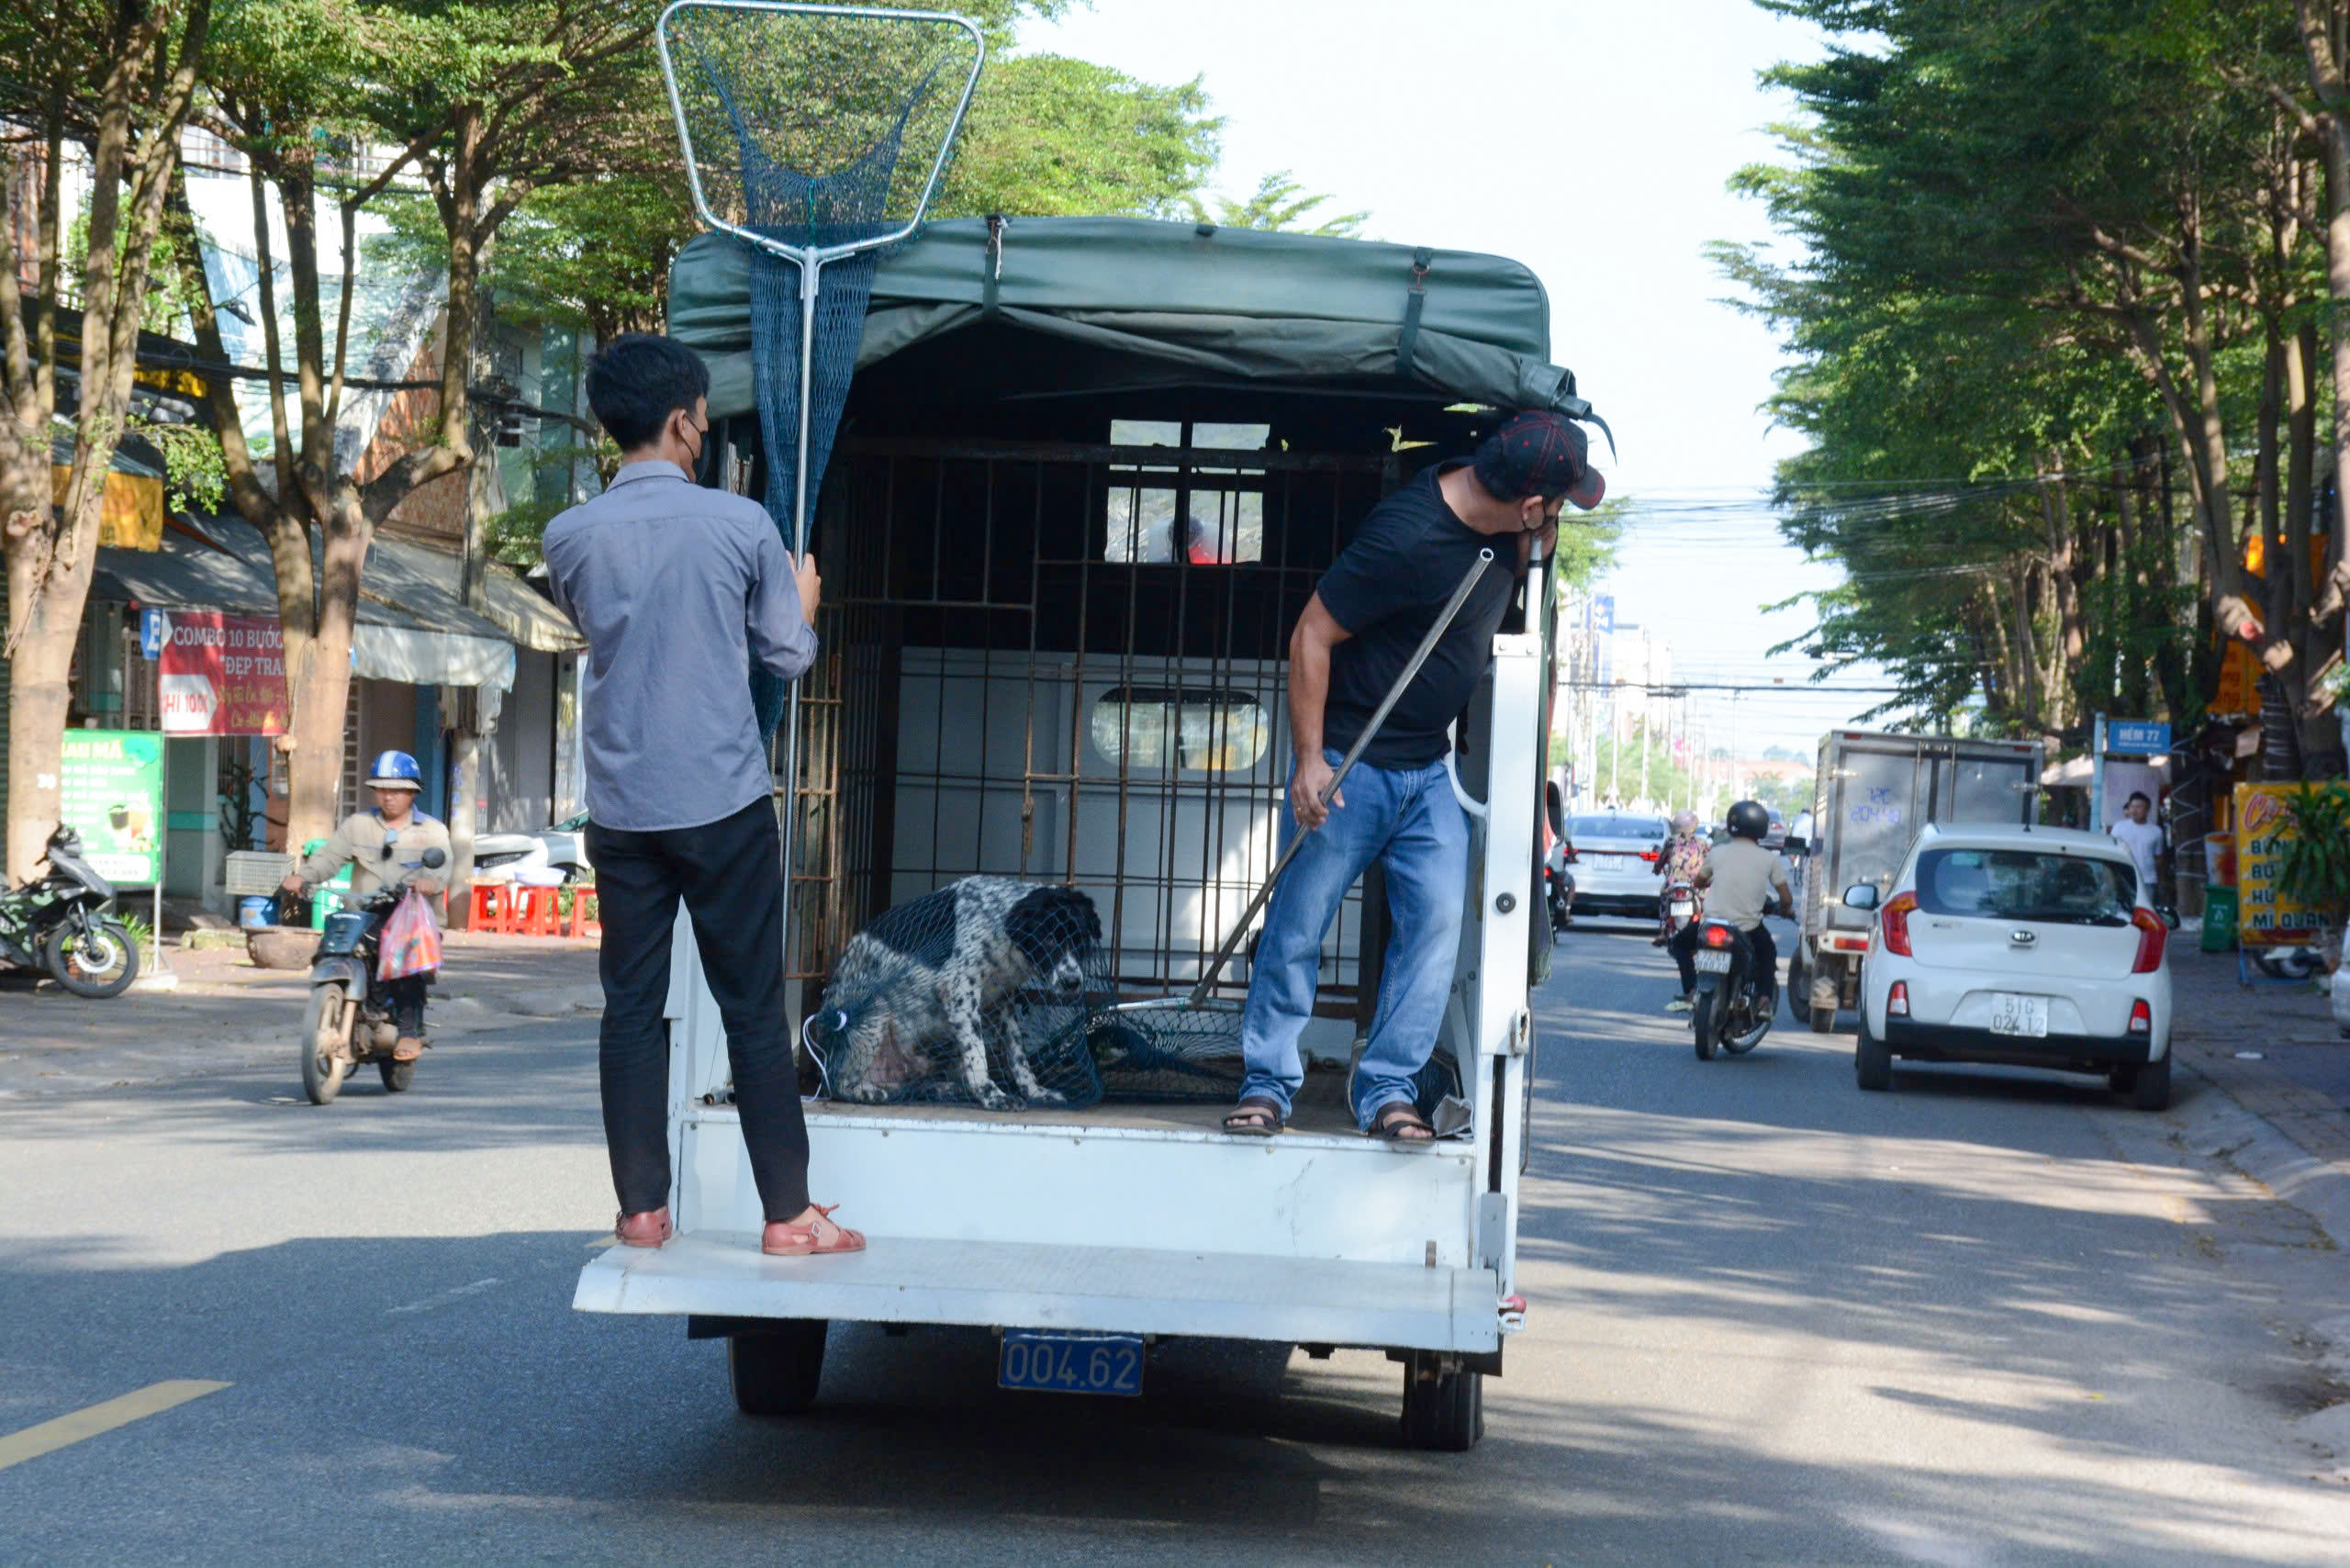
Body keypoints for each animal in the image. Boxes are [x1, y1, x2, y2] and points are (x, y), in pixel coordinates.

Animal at [803, 879, 1104, 1109]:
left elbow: (1018, 1055)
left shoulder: (1002, 1001)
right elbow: (978, 1053)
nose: (1072, 982)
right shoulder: (959, 989)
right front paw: (991, 1095)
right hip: (871, 1017)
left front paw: (1036, 1091)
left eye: (1081, 941)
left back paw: (942, 1089)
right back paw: (866, 1091)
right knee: (840, 1081)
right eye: (1050, 939)